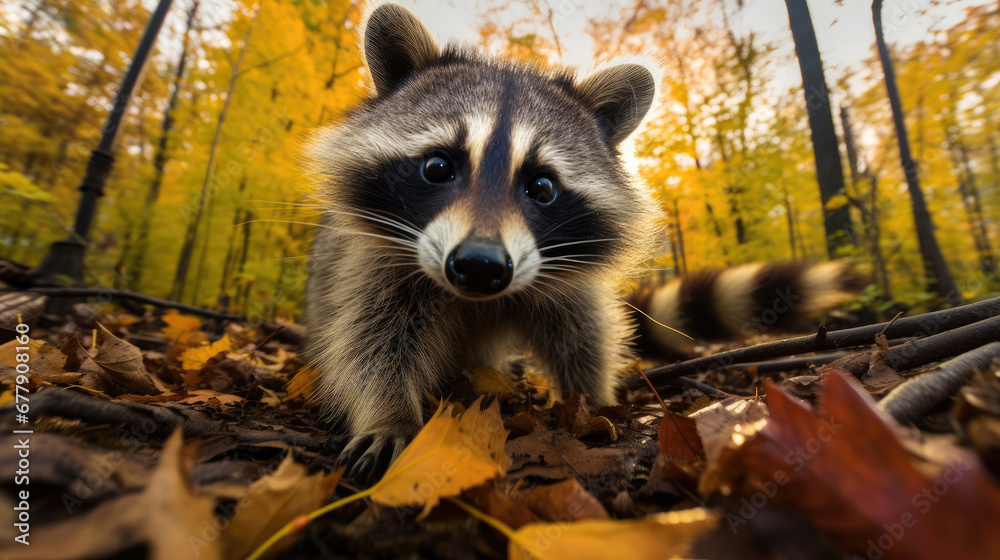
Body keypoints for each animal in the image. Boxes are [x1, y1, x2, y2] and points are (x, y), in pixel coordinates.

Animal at [303, 3, 659, 481]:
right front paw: (388, 413)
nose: (479, 264)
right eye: (437, 167)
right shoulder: (374, 261)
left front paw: (595, 401)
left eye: (542, 187)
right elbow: (369, 340)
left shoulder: (564, 277)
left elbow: (584, 335)